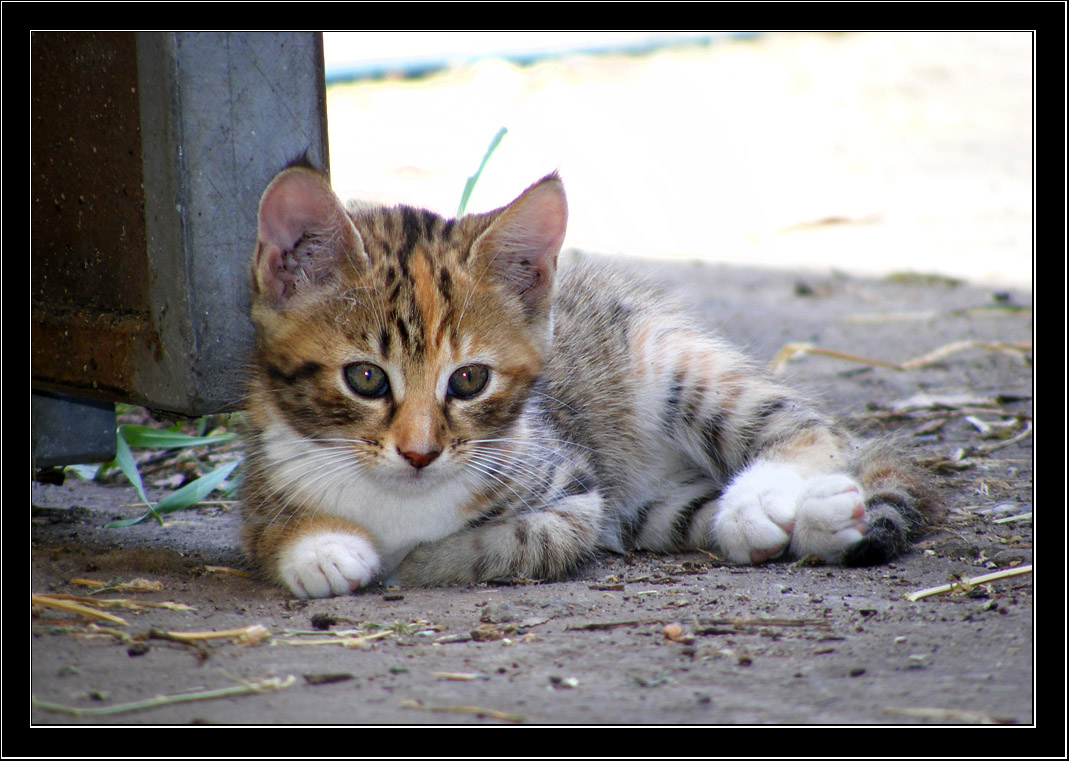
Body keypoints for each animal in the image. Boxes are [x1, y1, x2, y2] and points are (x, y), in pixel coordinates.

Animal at [240, 163, 936, 598]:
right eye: (365, 378)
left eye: (468, 381)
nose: (419, 453)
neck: (401, 500)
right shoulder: (264, 472)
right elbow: (266, 529)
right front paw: (319, 550)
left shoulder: (574, 490)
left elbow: (515, 542)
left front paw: (420, 562)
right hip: (652, 508)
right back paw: (820, 518)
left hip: (677, 367)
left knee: (809, 427)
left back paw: (766, 499)